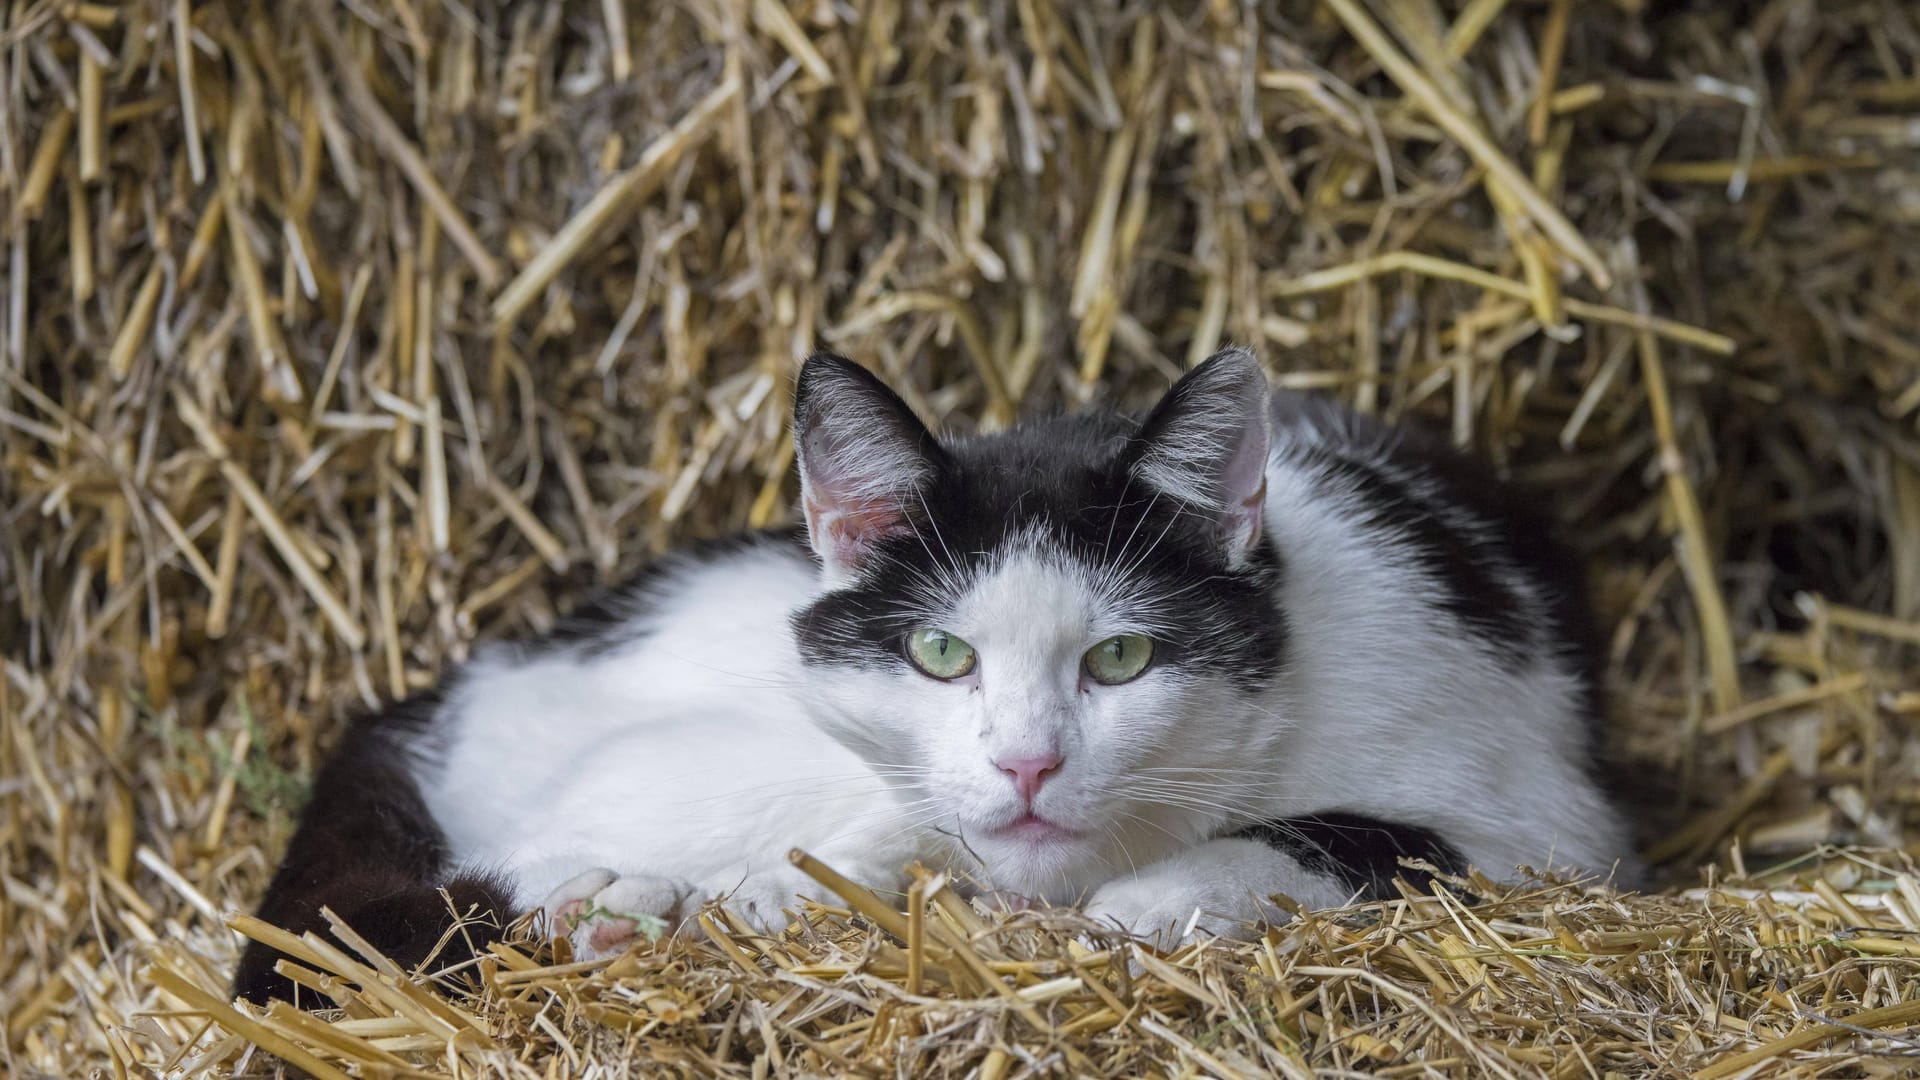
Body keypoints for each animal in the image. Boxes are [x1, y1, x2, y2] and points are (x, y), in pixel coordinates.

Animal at [232, 349, 1628, 999]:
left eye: (1122, 657)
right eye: (941, 654)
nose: (1026, 763)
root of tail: (438, 697)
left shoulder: (1546, 820)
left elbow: (1367, 836)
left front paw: (1163, 897)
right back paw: (616, 903)